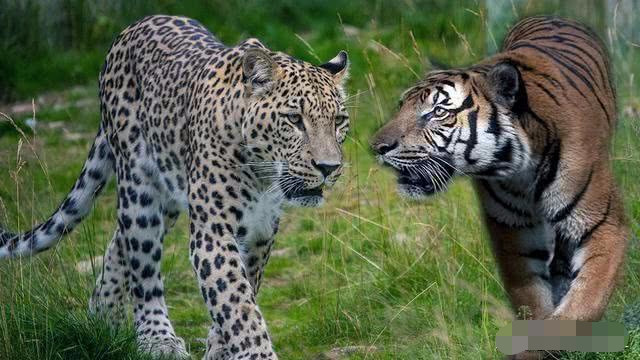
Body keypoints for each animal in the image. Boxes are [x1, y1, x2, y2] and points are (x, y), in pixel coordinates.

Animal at [0, 14, 350, 360]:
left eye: (339, 121)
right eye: (294, 119)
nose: (329, 167)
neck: (261, 174)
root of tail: (133, 26)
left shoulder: (260, 232)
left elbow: (242, 291)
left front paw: (220, 348)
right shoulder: (213, 231)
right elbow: (237, 303)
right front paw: (255, 353)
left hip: (167, 194)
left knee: (119, 242)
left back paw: (101, 318)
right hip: (139, 188)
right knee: (142, 266)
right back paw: (157, 339)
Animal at [372, 15, 628, 356]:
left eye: (438, 112)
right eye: (401, 106)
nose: (377, 147)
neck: (524, 171)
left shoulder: (604, 225)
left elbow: (586, 300)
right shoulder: (513, 231)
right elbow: (530, 300)